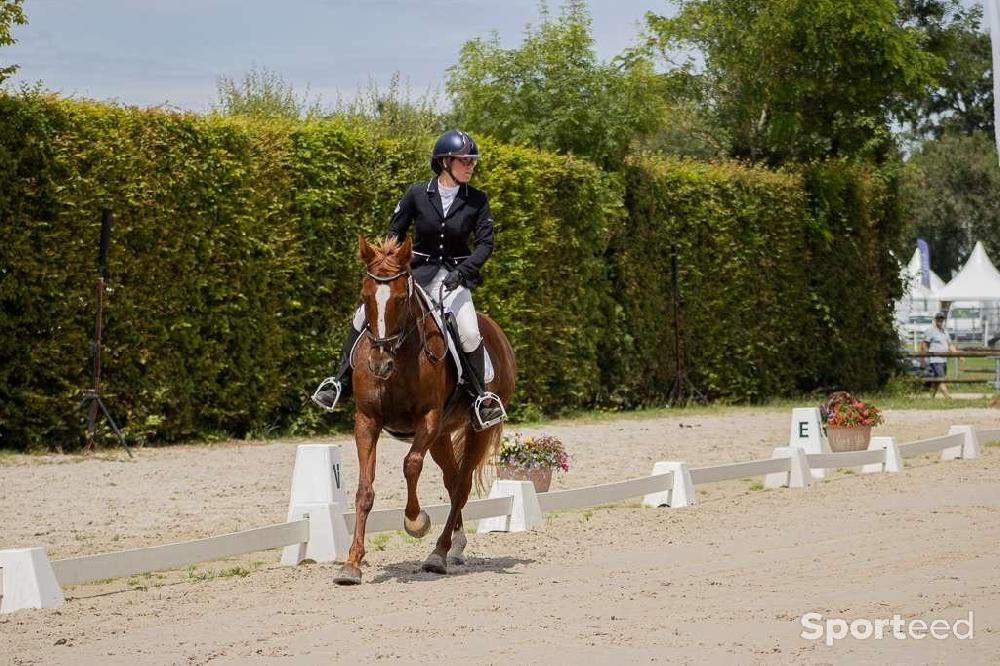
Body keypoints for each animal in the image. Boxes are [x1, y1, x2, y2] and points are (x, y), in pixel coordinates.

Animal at [336, 233, 520, 580]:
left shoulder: (428, 419)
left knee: (461, 485)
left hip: (474, 430)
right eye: (365, 297)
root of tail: (496, 332)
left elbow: (411, 465)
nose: (379, 364)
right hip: (442, 436)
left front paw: (415, 522)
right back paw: (455, 546)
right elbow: (365, 490)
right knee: (452, 481)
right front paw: (351, 564)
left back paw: (438, 553)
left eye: (400, 299)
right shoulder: (367, 420)